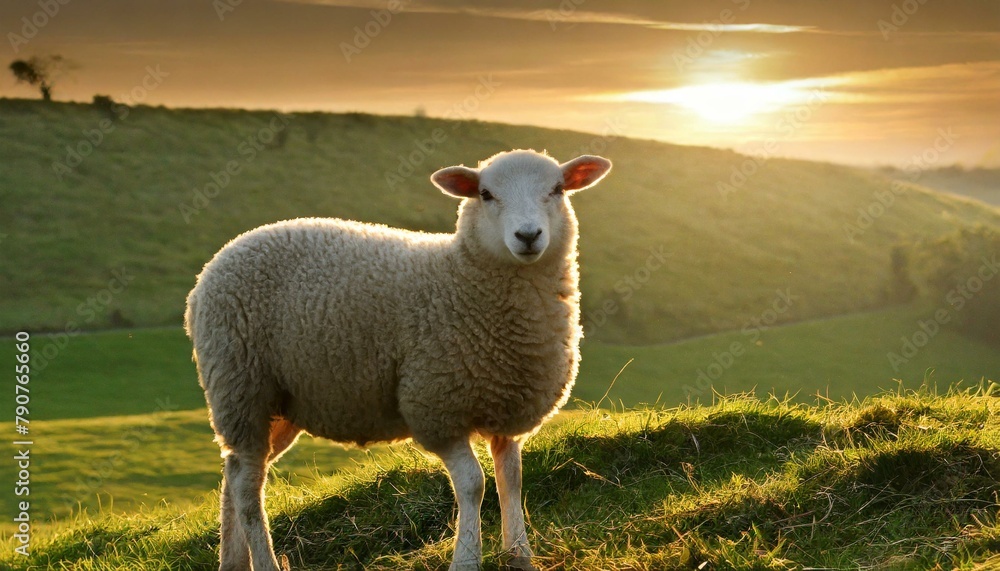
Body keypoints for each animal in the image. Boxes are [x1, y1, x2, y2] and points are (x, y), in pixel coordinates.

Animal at [184, 149, 612, 571]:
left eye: (557, 189)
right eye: (486, 194)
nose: (527, 236)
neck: (462, 282)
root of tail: (211, 268)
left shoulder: (505, 408)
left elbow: (512, 479)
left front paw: (519, 555)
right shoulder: (435, 408)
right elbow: (473, 485)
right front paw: (466, 559)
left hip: (279, 404)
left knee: (235, 471)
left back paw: (232, 561)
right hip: (241, 386)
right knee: (247, 486)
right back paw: (264, 561)